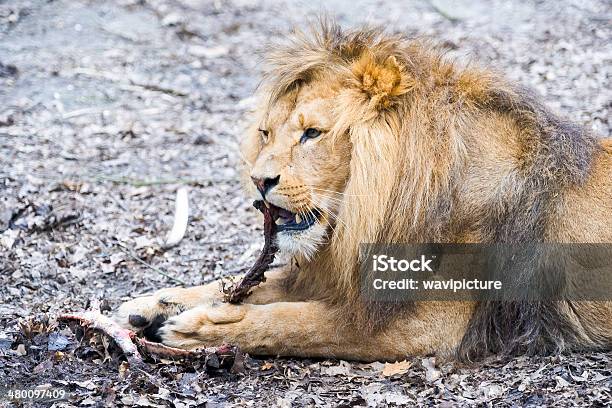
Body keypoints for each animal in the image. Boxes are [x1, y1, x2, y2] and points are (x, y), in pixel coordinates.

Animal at [116, 20, 612, 362]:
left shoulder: (424, 325)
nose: (259, 180)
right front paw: (154, 303)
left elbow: (296, 322)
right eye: (265, 133)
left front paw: (197, 330)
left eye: (312, 134)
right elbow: (257, 285)